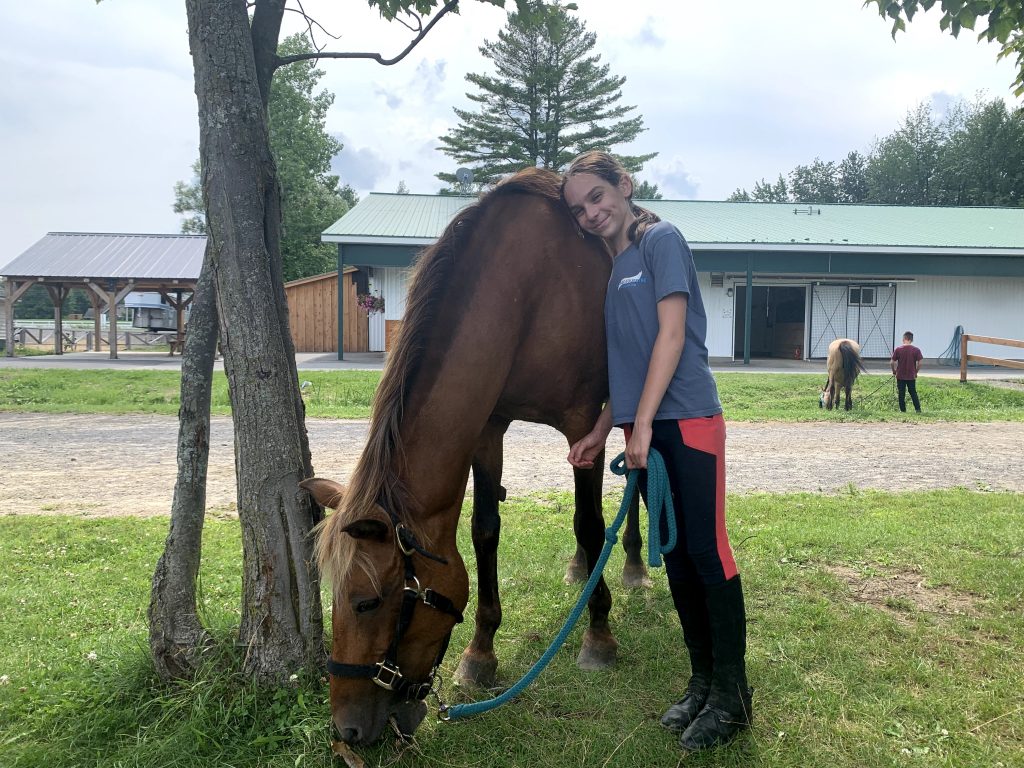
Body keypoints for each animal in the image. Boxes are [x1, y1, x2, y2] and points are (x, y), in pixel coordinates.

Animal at [299, 166, 643, 745]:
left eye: (366, 602)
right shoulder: (487, 428)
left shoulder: (582, 424)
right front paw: (480, 653)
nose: (346, 731)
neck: (526, 292)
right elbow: (485, 531)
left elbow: (591, 522)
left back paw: (635, 565)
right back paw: (580, 567)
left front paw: (599, 635)